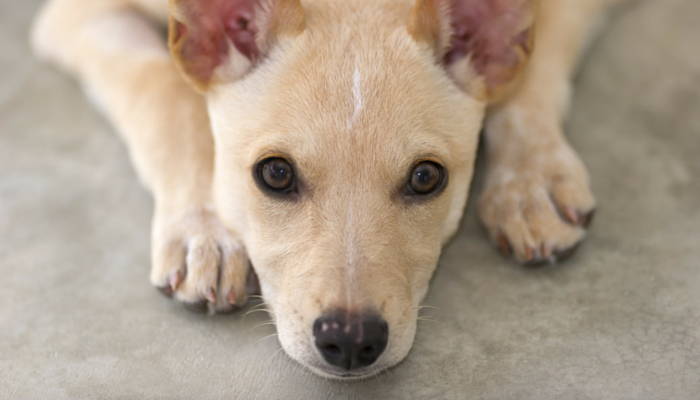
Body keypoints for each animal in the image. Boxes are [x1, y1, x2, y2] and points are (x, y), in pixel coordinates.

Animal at [31, 0, 624, 378]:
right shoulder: (83, 14)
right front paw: (205, 229)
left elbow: (530, 73)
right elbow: (169, 96)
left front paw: (530, 180)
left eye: (426, 178)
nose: (352, 340)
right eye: (275, 174)